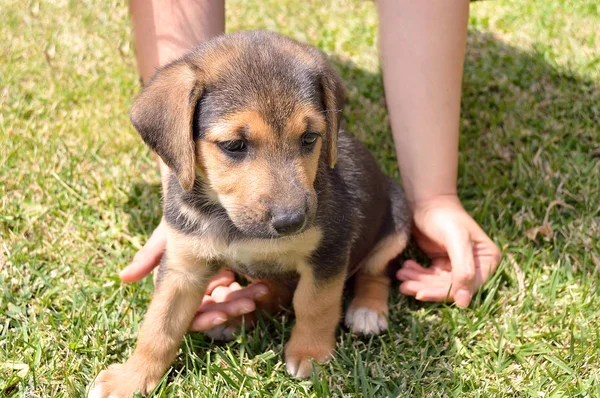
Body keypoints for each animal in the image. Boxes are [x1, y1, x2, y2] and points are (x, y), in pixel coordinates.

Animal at [89, 31, 410, 398]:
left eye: (310, 137)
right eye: (233, 145)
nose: (292, 222)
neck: (229, 220)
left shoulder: (329, 251)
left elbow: (315, 305)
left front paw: (310, 355)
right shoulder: (183, 265)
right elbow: (159, 327)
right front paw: (132, 377)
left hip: (397, 218)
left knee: (377, 271)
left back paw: (367, 310)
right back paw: (236, 317)